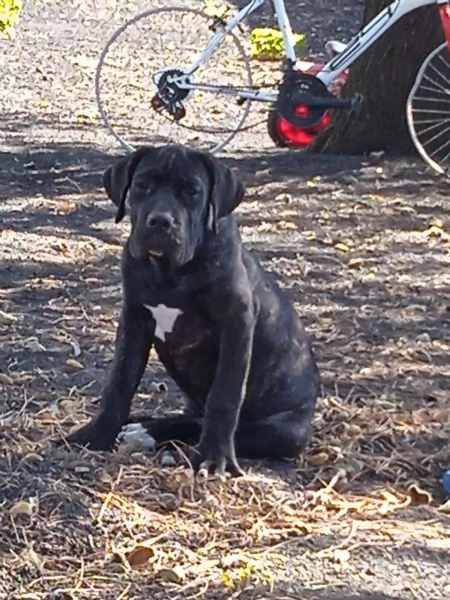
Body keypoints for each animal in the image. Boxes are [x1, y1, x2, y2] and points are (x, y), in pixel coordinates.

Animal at [66, 144, 320, 474]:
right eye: (142, 185)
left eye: (193, 192)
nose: (161, 221)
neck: (168, 272)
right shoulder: (134, 320)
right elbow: (119, 382)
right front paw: (97, 434)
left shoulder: (236, 326)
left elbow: (224, 396)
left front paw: (215, 457)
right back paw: (140, 427)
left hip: (285, 431)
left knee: (220, 426)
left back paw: (160, 437)